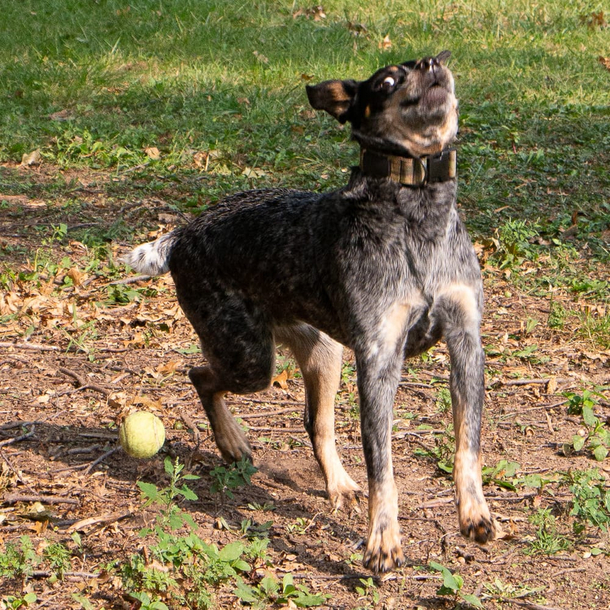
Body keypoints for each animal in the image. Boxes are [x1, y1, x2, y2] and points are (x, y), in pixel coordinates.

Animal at [123, 51, 494, 568]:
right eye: (387, 80)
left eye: (439, 61)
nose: (430, 62)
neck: (418, 213)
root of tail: (182, 234)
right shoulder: (379, 360)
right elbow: (383, 466)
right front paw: (383, 539)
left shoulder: (465, 344)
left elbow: (467, 445)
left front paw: (473, 512)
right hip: (250, 359)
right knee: (200, 376)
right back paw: (231, 441)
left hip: (324, 353)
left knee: (316, 425)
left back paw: (336, 483)